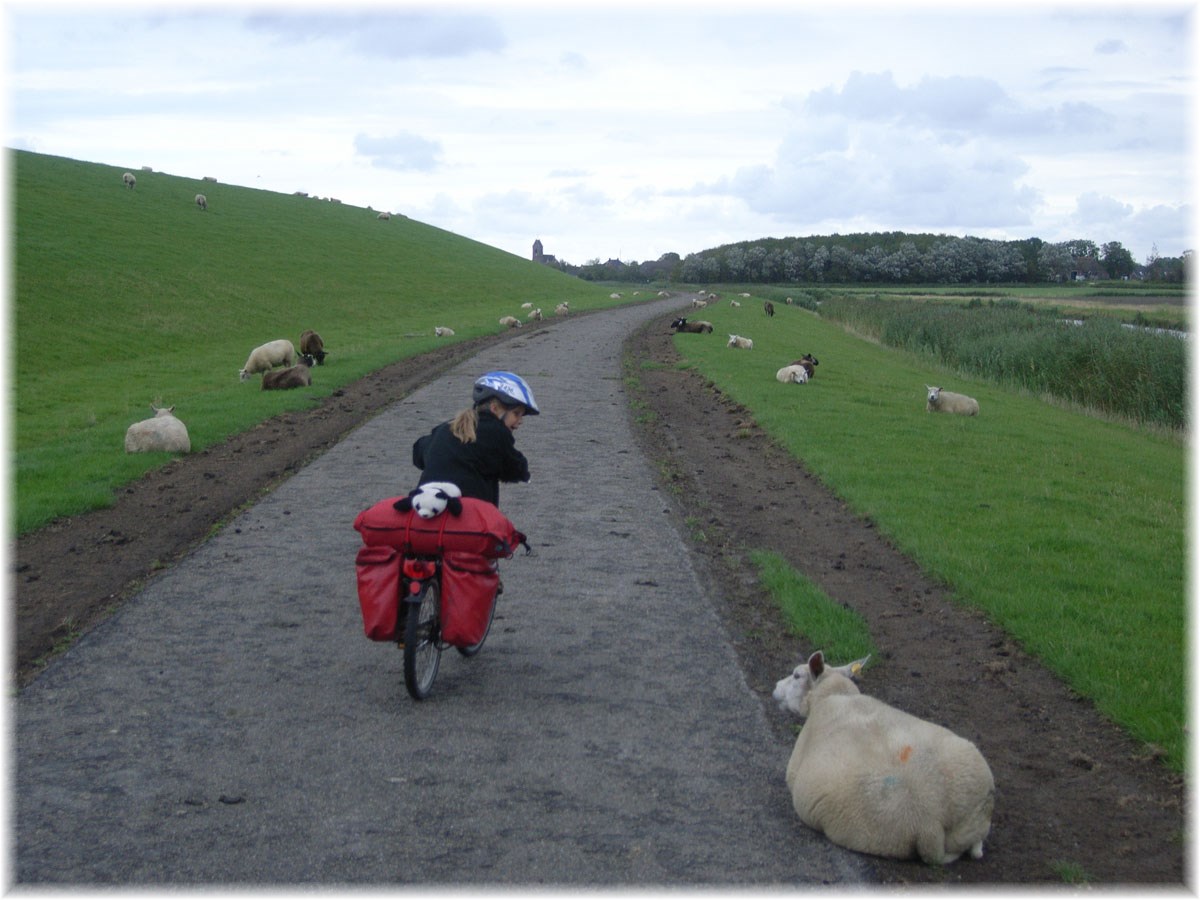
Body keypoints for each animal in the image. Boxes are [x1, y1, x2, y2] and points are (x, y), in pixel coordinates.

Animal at [772, 657, 998, 868]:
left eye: (796, 675)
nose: (775, 687)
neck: (833, 694)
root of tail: (929, 824)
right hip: (975, 814)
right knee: (975, 845)